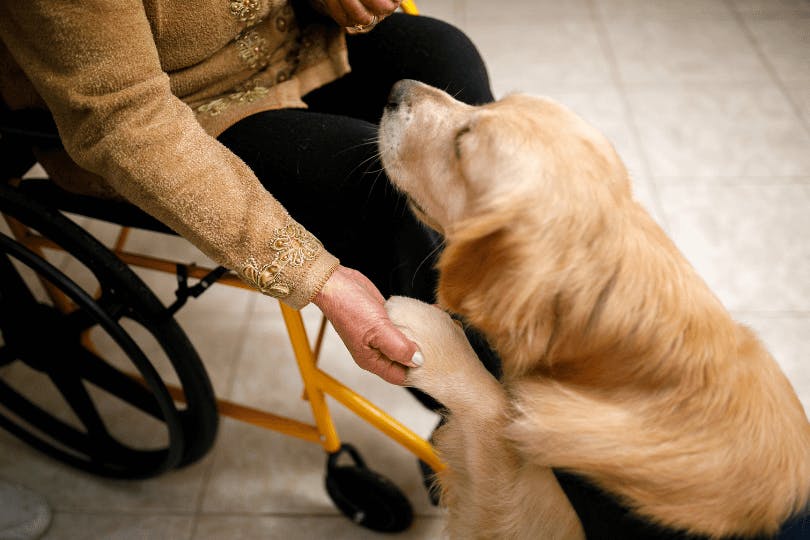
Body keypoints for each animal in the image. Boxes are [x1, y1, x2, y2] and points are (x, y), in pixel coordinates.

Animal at [378, 80, 808, 540]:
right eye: (488, 104)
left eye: (461, 145)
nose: (397, 88)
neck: (630, 375)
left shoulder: (540, 518)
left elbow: (495, 408)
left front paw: (430, 335)